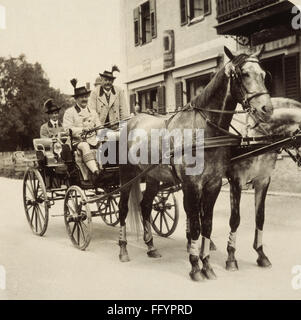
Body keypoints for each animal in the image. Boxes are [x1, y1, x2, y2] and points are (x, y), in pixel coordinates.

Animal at [117, 46, 272, 282]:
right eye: (244, 74)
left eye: (263, 74)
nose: (267, 108)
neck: (204, 130)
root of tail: (132, 120)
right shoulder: (192, 185)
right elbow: (196, 226)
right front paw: (195, 266)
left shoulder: (213, 184)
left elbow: (206, 224)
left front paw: (206, 265)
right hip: (127, 176)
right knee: (123, 209)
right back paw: (123, 249)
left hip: (153, 177)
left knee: (145, 206)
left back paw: (151, 246)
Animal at [225, 97, 300, 270]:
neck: (255, 137)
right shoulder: (236, 181)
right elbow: (235, 219)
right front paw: (231, 256)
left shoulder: (263, 180)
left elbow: (260, 217)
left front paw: (261, 253)